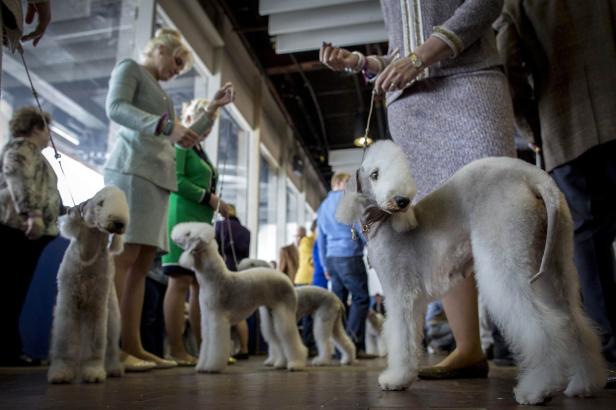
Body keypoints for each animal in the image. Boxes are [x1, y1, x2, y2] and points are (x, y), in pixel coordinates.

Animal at [48, 186, 129, 384]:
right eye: (100, 203)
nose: (119, 223)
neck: (88, 257)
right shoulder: (68, 303)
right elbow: (64, 340)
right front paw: (61, 372)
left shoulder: (97, 306)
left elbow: (96, 342)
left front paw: (93, 371)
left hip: (112, 313)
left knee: (111, 345)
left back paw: (114, 368)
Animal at [171, 223, 308, 374]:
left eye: (188, 234)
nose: (173, 234)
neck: (214, 278)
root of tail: (285, 278)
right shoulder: (207, 317)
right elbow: (206, 341)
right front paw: (202, 366)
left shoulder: (217, 318)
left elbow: (215, 344)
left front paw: (212, 367)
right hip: (271, 315)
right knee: (277, 337)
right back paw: (281, 363)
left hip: (284, 313)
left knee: (290, 338)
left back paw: (296, 364)